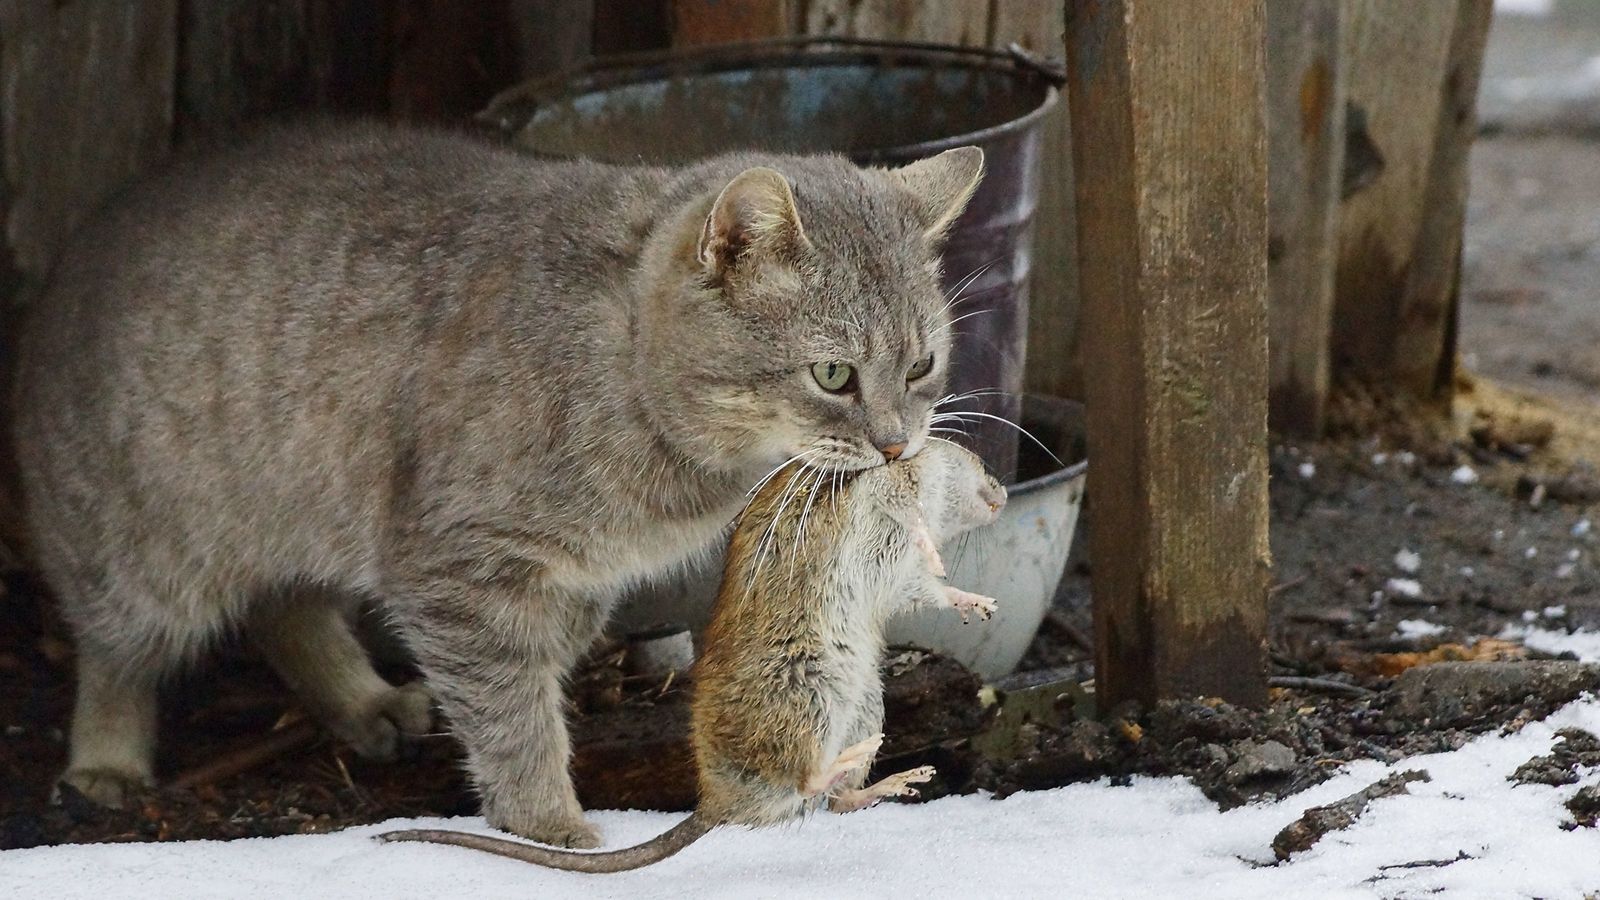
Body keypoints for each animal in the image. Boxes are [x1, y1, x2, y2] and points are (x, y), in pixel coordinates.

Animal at [12, 122, 979, 845]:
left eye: (922, 364)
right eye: (833, 375)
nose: (897, 445)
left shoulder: (576, 578)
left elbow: (539, 674)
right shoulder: (456, 571)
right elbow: (511, 712)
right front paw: (547, 822)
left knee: (287, 608)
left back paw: (362, 701)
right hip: (142, 556)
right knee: (118, 652)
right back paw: (104, 760)